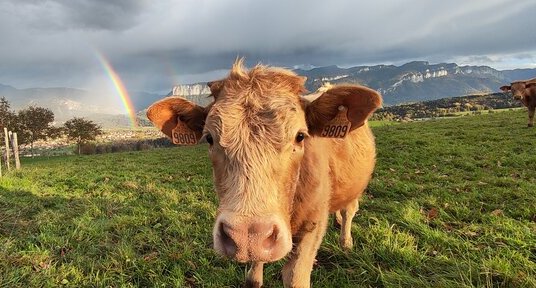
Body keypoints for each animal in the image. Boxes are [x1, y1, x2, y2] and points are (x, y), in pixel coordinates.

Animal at [147, 59, 382, 286]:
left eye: (300, 136)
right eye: (209, 138)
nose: (246, 235)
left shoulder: (312, 224)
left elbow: (295, 277)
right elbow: (253, 278)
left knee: (349, 210)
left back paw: (346, 241)